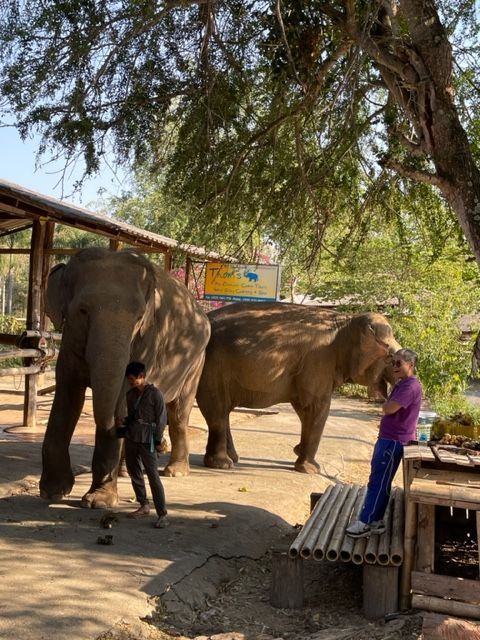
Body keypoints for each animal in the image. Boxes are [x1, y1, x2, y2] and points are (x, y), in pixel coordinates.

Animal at [41, 247, 210, 508]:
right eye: (83, 311)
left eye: (139, 317)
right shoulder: (70, 341)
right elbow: (67, 395)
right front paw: (53, 492)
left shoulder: (148, 340)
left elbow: (121, 396)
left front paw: (99, 502)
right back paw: (125, 471)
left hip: (196, 363)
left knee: (179, 414)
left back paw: (175, 472)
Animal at [196, 302, 401, 474]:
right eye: (390, 358)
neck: (346, 321)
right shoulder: (318, 361)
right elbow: (316, 407)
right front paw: (311, 469)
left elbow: (304, 409)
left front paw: (298, 451)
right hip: (212, 366)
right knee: (217, 410)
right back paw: (223, 464)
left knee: (222, 411)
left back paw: (233, 459)